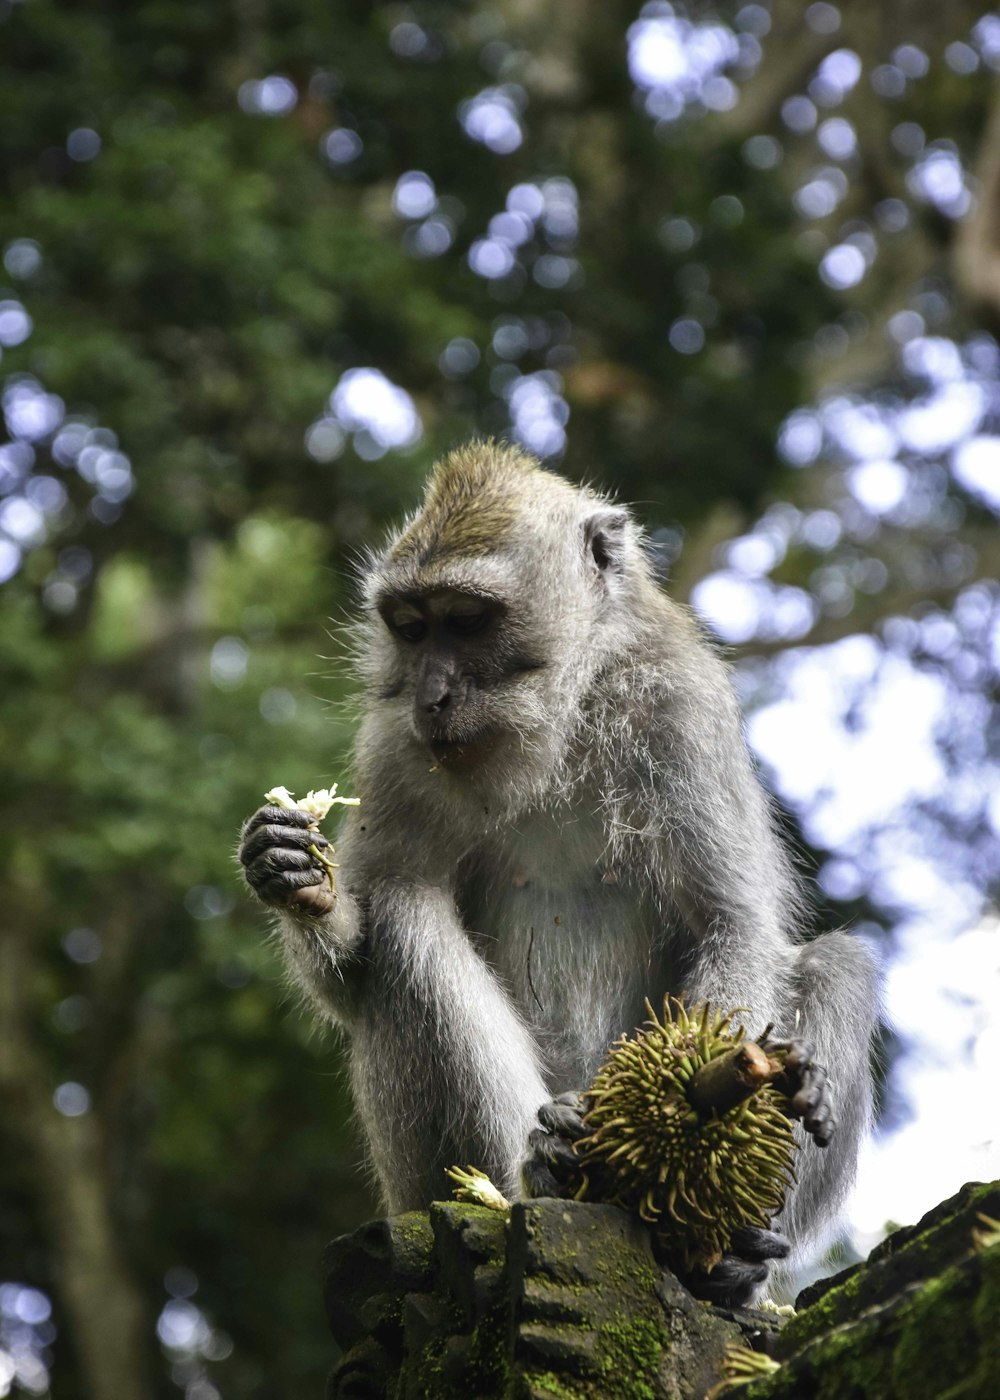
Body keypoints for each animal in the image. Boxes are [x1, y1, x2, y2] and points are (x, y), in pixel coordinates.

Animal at [238, 442, 873, 1304]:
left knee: (839, 962)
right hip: (419, 1182)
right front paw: (295, 876)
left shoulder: (681, 707)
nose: (433, 695)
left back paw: (735, 1259)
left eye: (468, 620)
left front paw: (702, 1108)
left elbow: (731, 924)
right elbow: (357, 969)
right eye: (411, 627)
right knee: (408, 913)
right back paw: (541, 1170)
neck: (558, 721)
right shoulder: (394, 748)